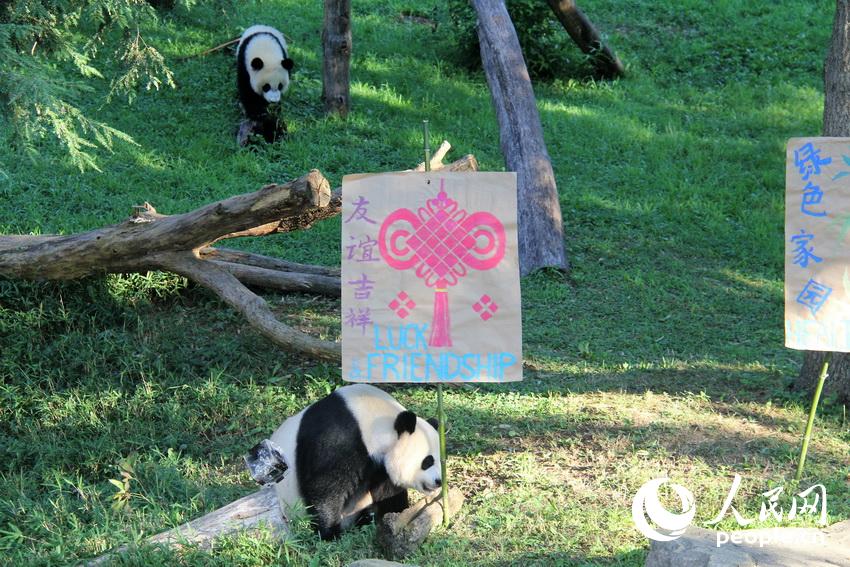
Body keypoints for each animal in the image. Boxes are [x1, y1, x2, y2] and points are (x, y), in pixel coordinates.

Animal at [245, 384, 442, 540]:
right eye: (427, 461)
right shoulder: (339, 439)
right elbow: (325, 487)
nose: (438, 481)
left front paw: (395, 516)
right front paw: (330, 533)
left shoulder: (379, 466)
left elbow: (387, 491)